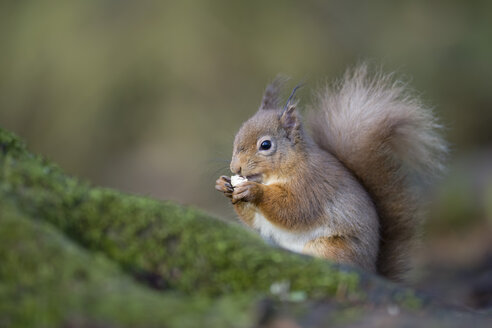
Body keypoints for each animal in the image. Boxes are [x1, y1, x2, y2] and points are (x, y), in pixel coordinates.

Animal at [215, 65, 446, 280]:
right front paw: (223, 184)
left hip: (330, 249)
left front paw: (254, 191)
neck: (285, 168)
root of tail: (371, 271)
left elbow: (293, 209)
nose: (235, 168)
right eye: (237, 135)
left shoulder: (311, 186)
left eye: (265, 145)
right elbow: (253, 220)